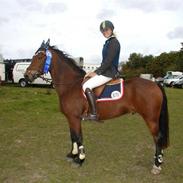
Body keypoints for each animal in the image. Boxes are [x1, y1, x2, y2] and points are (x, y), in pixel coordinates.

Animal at [24, 40, 169, 174]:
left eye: (40, 56)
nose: (27, 75)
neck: (71, 85)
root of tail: (155, 84)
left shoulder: (75, 118)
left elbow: (78, 137)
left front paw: (80, 159)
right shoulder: (71, 118)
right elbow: (73, 136)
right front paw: (72, 155)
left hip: (151, 119)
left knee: (157, 138)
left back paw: (157, 165)